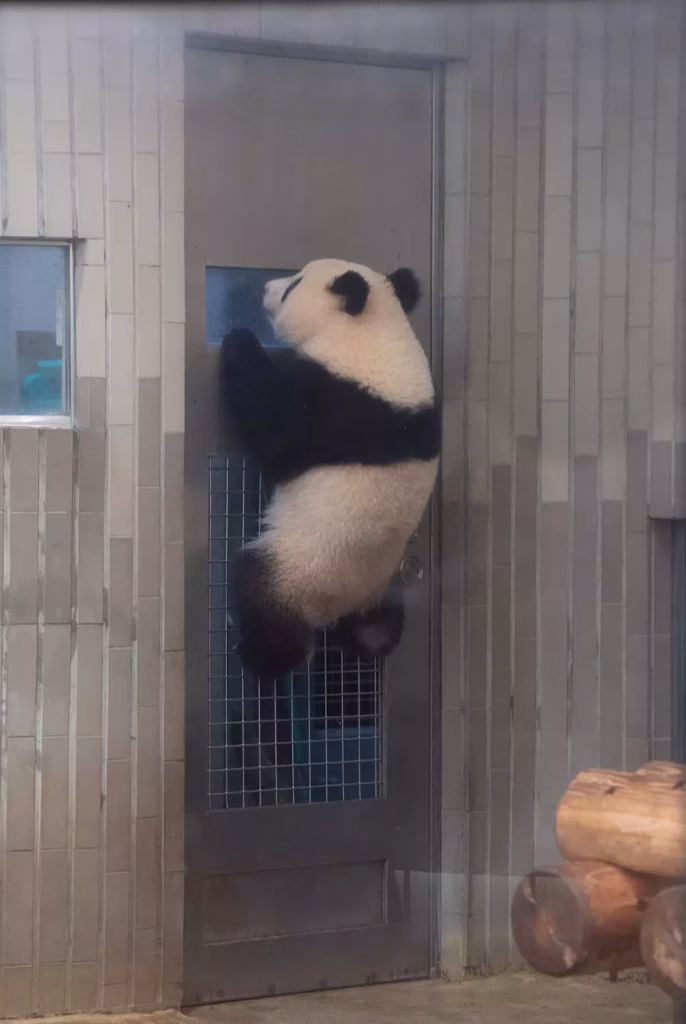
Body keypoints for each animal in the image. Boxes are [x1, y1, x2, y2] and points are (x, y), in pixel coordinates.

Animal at [220, 257, 440, 679]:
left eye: (293, 286)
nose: (267, 288)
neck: (374, 335)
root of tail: (336, 608)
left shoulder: (333, 403)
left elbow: (272, 428)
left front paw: (239, 341)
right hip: (382, 582)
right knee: (379, 625)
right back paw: (370, 639)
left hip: (300, 565)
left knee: (257, 588)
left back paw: (259, 656)